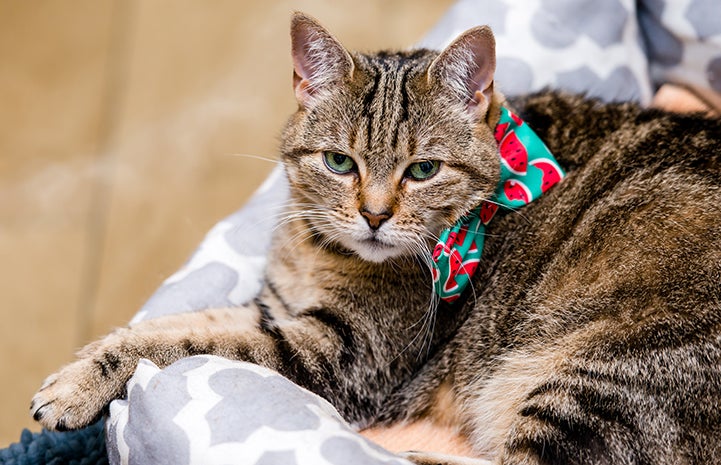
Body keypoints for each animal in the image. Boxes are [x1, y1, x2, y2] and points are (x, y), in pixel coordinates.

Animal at [31, 10, 720, 464]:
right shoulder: (277, 311)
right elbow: (169, 328)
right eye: (340, 163)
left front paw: (74, 388)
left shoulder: (341, 356)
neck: (319, 253)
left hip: (595, 379)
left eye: (422, 170)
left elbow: (191, 343)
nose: (374, 214)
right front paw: (78, 377)